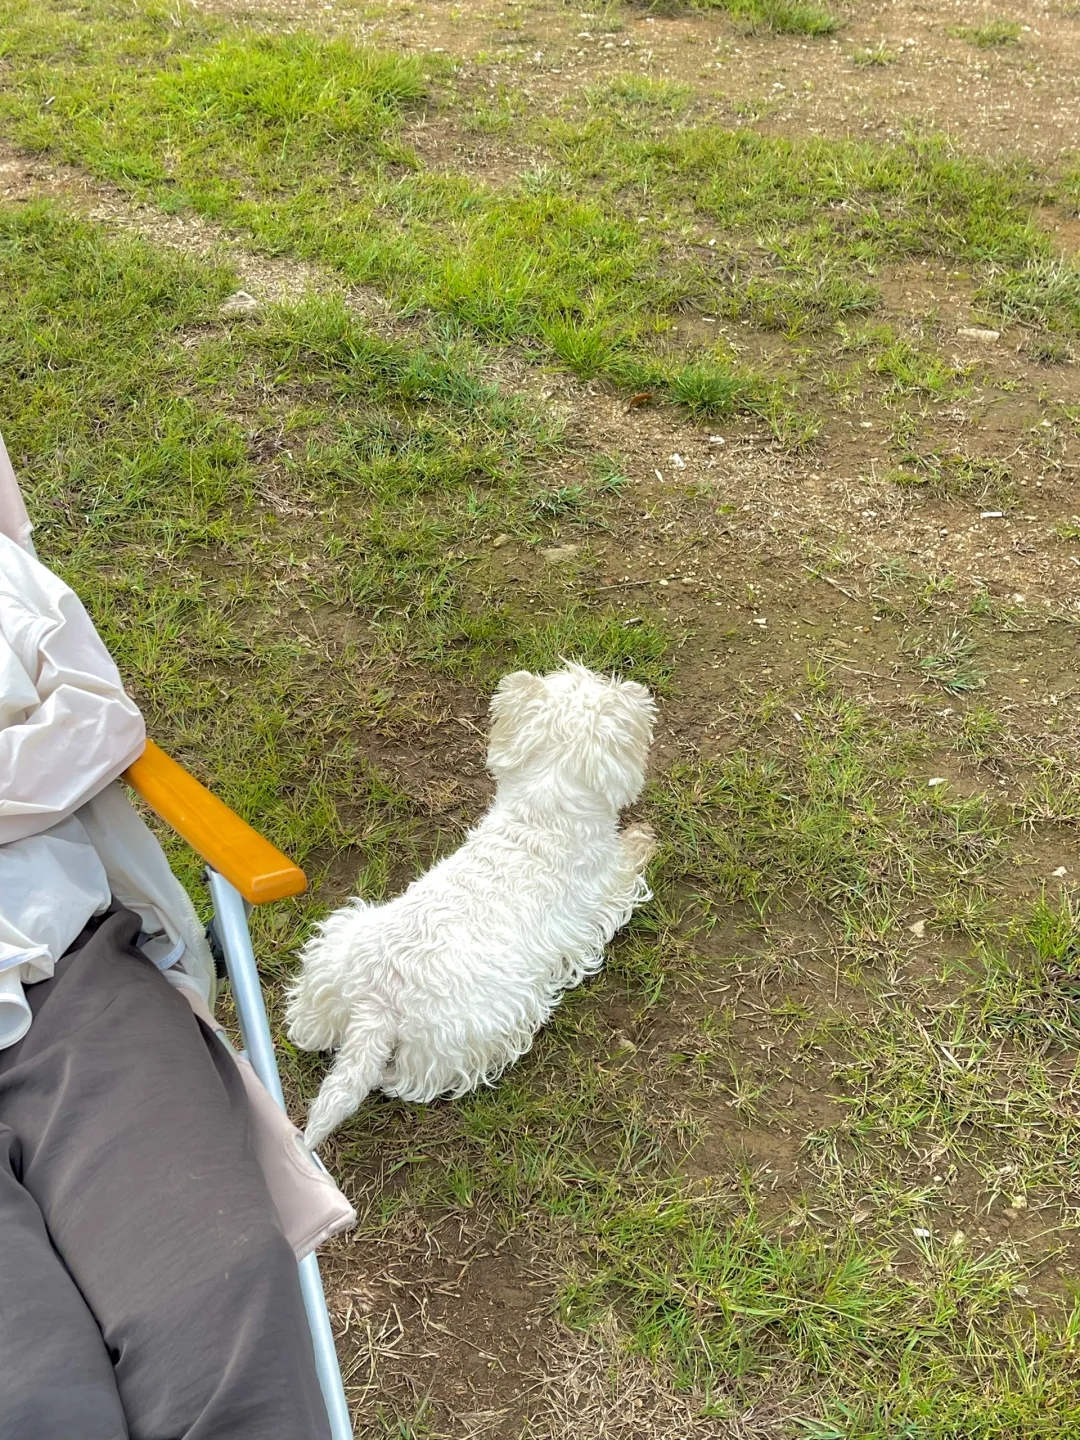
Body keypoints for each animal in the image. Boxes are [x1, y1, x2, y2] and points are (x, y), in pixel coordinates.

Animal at [286, 662, 658, 1147]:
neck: (541, 813)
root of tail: (376, 1003)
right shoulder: (609, 889)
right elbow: (631, 862)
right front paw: (644, 837)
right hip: (481, 1027)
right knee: (405, 1080)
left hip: (338, 944)